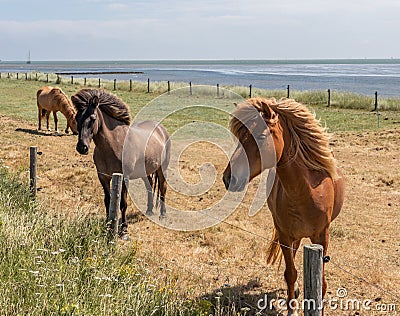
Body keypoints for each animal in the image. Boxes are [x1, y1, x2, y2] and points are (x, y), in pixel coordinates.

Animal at [71, 87, 170, 236]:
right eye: (77, 118)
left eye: (93, 119)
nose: (82, 147)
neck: (114, 145)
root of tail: (161, 129)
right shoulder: (103, 177)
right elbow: (107, 200)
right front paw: (107, 225)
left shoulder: (124, 178)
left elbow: (123, 203)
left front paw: (124, 229)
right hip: (145, 171)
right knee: (149, 186)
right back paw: (149, 210)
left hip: (162, 169)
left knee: (163, 188)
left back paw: (163, 215)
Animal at [223, 97, 346, 314]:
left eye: (261, 136)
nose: (229, 178)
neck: (306, 192)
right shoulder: (285, 235)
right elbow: (290, 273)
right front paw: (292, 308)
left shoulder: (322, 237)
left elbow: (322, 283)